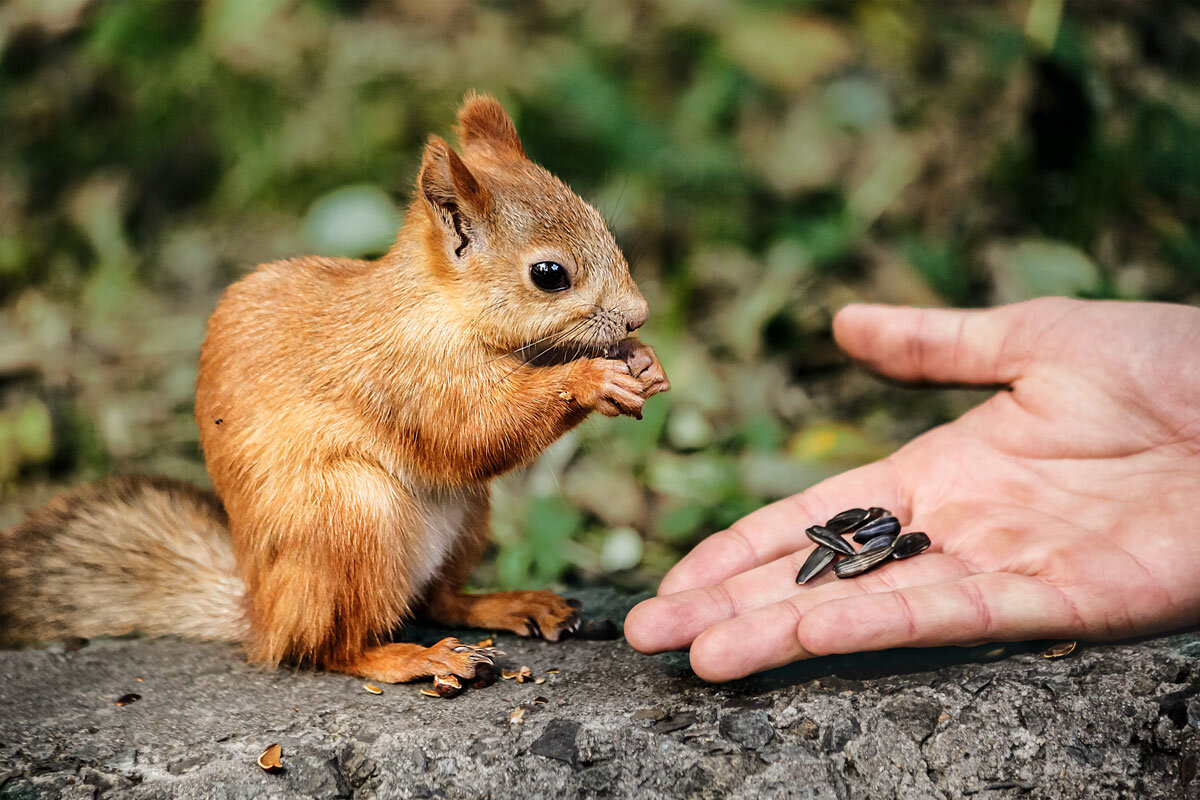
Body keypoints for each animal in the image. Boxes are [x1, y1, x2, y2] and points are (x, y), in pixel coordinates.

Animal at [0, 93, 669, 684]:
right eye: (549, 274)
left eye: (601, 222)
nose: (639, 315)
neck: (438, 306)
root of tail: (263, 615)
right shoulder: (405, 373)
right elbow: (475, 431)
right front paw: (592, 378)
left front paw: (643, 362)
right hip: (351, 516)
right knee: (330, 647)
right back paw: (414, 659)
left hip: (462, 518)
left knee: (435, 601)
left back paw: (512, 605)